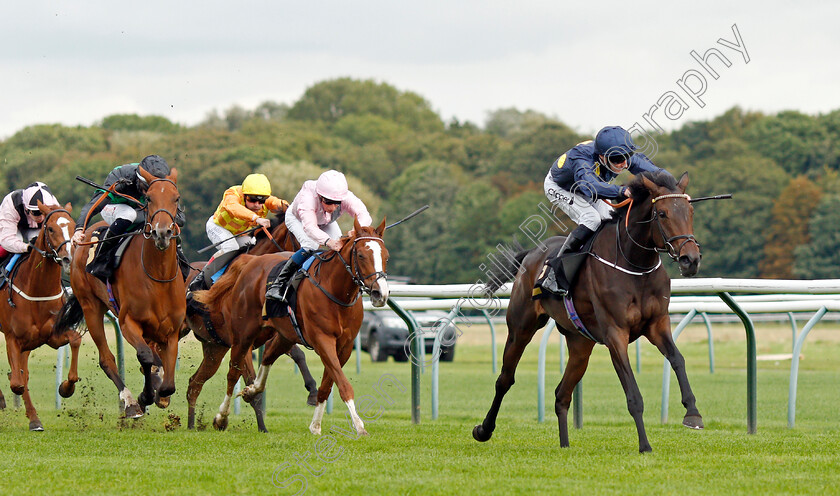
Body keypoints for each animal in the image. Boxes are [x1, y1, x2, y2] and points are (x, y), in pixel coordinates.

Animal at [0, 202, 79, 430]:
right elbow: (17, 382)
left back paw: (34, 419)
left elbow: (75, 340)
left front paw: (66, 388)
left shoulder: (50, 336)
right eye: (50, 228)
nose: (69, 258)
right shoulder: (12, 338)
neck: (37, 291)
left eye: (73, 226)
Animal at [56, 168, 186, 418]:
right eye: (149, 198)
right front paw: (144, 397)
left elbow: (168, 382)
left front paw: (159, 393)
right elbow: (145, 356)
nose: (162, 232)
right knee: (107, 359)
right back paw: (129, 401)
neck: (158, 278)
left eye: (176, 198)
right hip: (91, 306)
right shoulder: (128, 322)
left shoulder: (172, 330)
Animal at [197, 218, 390, 434]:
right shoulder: (322, 339)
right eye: (361, 255)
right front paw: (359, 426)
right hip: (243, 334)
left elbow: (327, 385)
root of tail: (251, 261)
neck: (336, 292)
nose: (380, 294)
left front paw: (315, 426)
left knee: (268, 356)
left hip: (282, 334)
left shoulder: (345, 347)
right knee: (233, 373)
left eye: (386, 256)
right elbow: (343, 384)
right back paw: (221, 417)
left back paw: (252, 390)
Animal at [476, 171, 704, 454]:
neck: (635, 265)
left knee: (561, 394)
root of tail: (532, 252)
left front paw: (692, 413)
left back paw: (564, 445)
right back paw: (484, 429)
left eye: (690, 210)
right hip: (520, 327)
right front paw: (644, 445)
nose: (690, 259)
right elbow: (633, 394)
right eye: (662, 213)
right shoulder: (615, 333)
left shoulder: (657, 324)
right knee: (505, 379)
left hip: (580, 344)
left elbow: (677, 359)